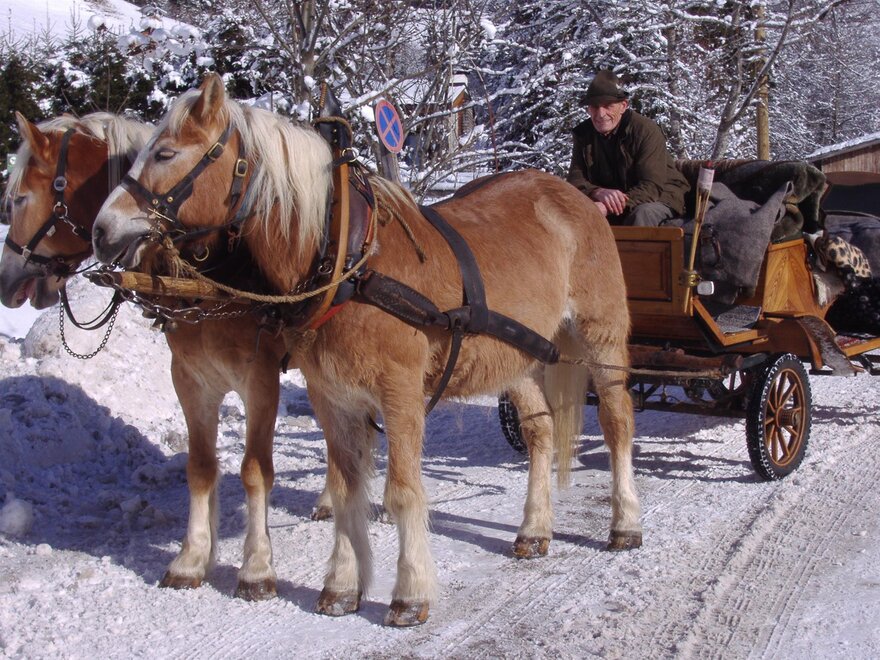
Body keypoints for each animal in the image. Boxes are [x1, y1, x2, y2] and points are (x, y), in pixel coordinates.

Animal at [0, 110, 326, 600]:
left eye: (19, 199)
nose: (6, 281)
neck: (207, 275)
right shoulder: (190, 378)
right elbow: (201, 467)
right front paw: (193, 558)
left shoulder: (260, 380)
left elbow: (255, 469)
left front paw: (256, 566)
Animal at [92, 73, 641, 626]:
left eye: (165, 153)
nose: (102, 229)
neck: (348, 262)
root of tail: (575, 196)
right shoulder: (329, 395)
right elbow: (346, 486)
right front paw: (340, 584)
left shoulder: (397, 394)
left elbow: (401, 490)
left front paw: (410, 590)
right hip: (520, 357)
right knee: (541, 431)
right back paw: (534, 529)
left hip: (600, 338)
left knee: (617, 421)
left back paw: (625, 522)